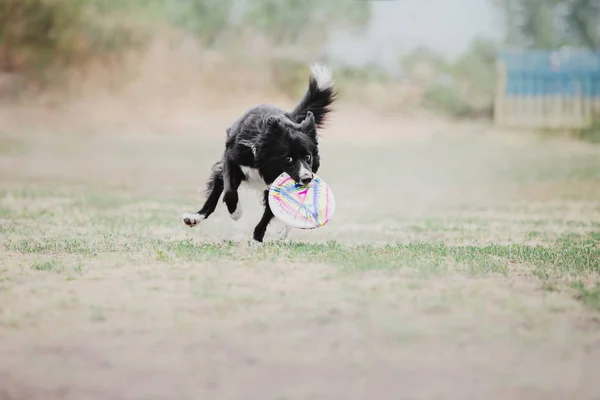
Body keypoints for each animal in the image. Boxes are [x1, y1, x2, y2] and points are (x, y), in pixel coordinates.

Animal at [180, 63, 336, 244]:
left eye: (308, 157)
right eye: (288, 158)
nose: (306, 179)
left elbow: (268, 214)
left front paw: (257, 239)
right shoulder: (231, 159)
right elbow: (230, 191)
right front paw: (236, 212)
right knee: (215, 194)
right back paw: (195, 217)